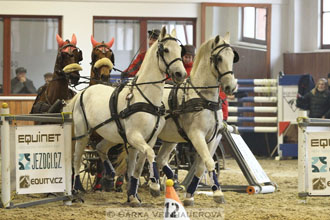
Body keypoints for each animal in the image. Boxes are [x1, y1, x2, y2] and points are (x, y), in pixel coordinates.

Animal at [65, 27, 187, 205]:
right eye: (165, 50)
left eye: (179, 49)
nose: (180, 74)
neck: (146, 98)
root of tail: (83, 92)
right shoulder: (134, 136)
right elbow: (150, 155)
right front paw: (154, 186)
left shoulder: (149, 139)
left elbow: (138, 166)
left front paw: (133, 196)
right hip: (83, 134)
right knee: (76, 159)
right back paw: (75, 191)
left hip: (111, 135)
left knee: (100, 148)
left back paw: (109, 175)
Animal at [126, 33, 237, 206]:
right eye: (219, 58)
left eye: (232, 57)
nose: (231, 87)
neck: (203, 98)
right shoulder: (196, 135)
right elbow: (209, 161)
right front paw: (218, 193)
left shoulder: (213, 138)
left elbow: (202, 166)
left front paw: (190, 195)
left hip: (170, 139)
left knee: (159, 159)